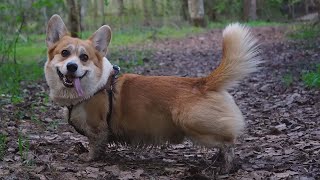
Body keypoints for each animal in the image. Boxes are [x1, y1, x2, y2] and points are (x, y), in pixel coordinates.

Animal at [44, 14, 260, 171]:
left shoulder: (97, 128)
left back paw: (226, 166)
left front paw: (88, 158)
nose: (72, 67)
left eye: (84, 57)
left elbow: (95, 145)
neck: (95, 85)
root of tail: (203, 83)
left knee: (228, 142)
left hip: (191, 122)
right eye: (64, 53)